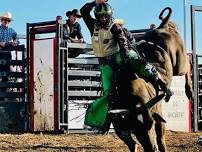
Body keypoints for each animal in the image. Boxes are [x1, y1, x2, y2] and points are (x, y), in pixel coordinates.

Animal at [105, 7, 193, 152]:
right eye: (135, 129)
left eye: (150, 124)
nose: (152, 148)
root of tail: (163, 26)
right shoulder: (119, 124)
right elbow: (132, 143)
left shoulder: (156, 113)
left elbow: (161, 138)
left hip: (179, 62)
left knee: (187, 65)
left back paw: (189, 91)